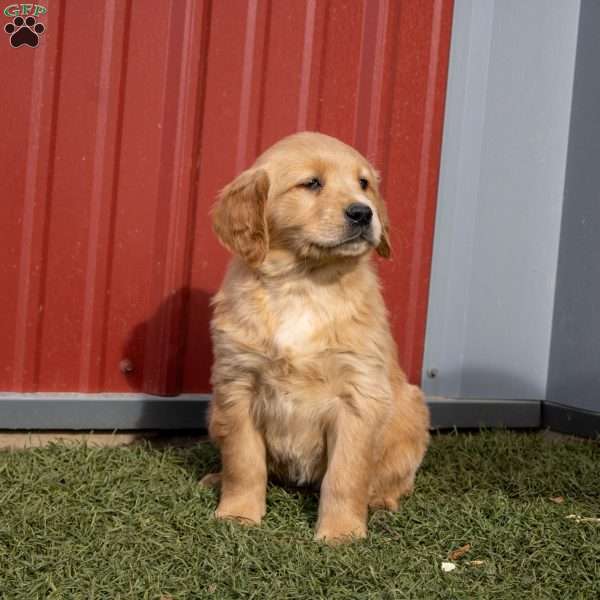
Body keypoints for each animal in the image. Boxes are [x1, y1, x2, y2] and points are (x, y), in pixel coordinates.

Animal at [204, 132, 428, 544]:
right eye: (311, 184)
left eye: (363, 184)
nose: (363, 213)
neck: (304, 282)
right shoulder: (237, 384)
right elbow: (243, 462)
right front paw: (238, 514)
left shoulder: (358, 394)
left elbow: (345, 475)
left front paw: (340, 533)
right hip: (214, 412)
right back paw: (215, 479)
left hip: (411, 410)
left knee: (394, 477)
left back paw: (382, 501)